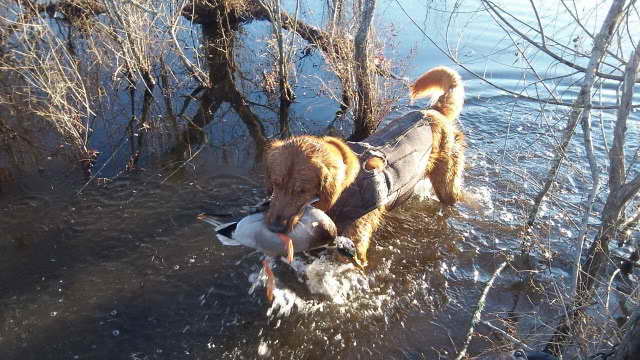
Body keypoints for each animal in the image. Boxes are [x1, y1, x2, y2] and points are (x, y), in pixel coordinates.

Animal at [262, 66, 462, 266]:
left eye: (302, 191)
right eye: (276, 183)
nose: (273, 227)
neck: (346, 190)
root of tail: (432, 111)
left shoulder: (356, 241)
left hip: (446, 184)